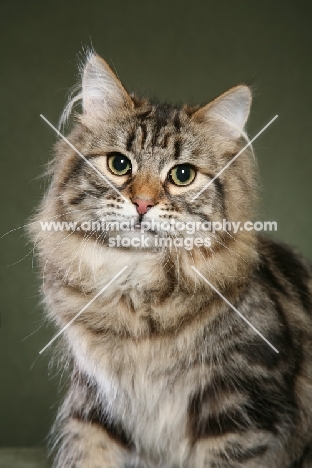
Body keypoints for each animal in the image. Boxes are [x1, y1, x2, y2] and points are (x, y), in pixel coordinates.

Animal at [29, 53, 312, 466]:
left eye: (182, 175)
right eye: (119, 164)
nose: (142, 203)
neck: (138, 288)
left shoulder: (240, 401)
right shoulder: (94, 401)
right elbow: (88, 454)